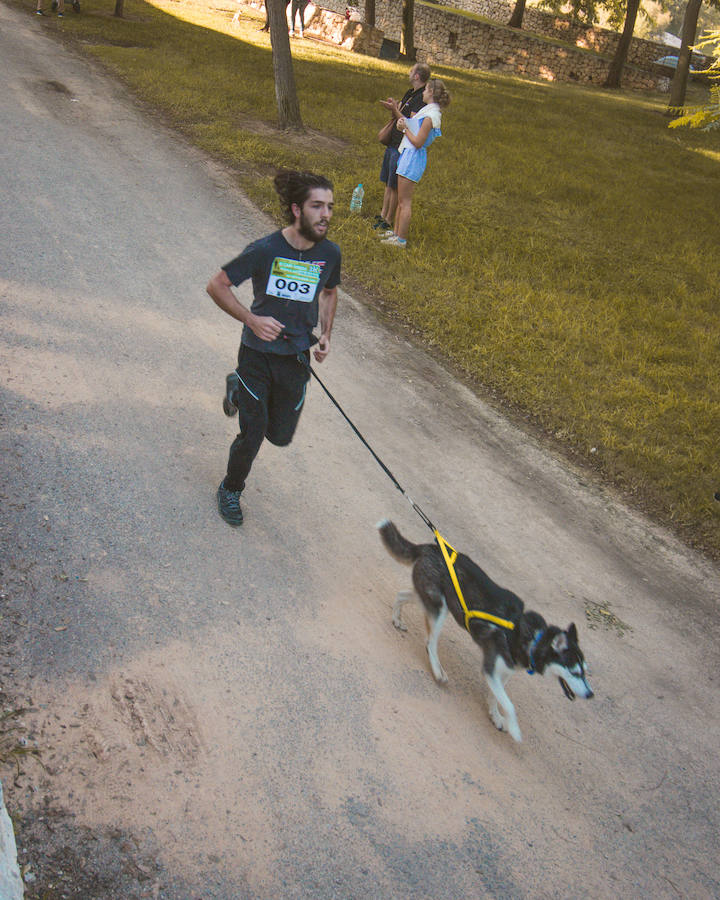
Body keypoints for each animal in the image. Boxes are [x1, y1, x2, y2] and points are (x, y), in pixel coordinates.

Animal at [376, 516, 592, 740]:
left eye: (585, 671)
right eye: (575, 672)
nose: (590, 694)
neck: (532, 638)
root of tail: (429, 547)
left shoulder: (504, 672)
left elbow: (496, 698)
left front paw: (495, 716)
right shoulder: (490, 669)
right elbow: (510, 705)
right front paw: (514, 730)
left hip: (430, 600)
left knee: (401, 595)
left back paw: (397, 619)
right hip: (439, 610)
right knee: (430, 643)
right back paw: (437, 670)